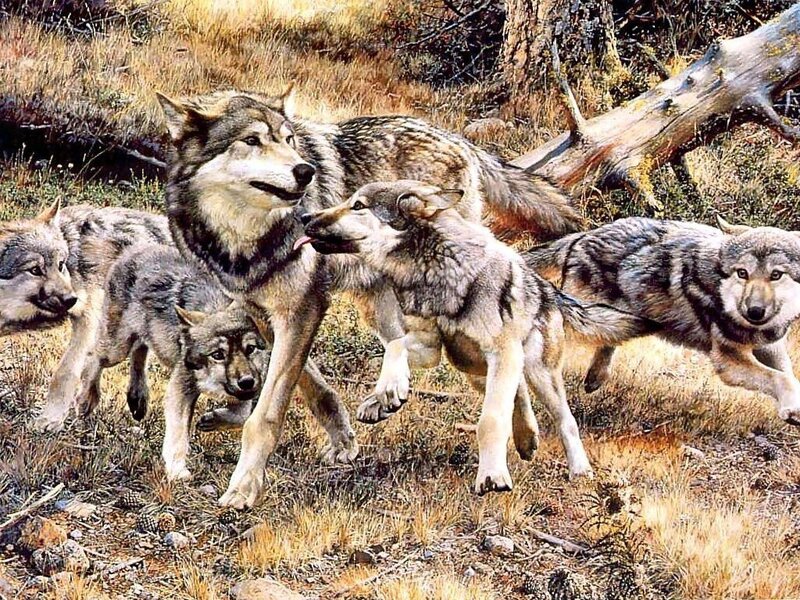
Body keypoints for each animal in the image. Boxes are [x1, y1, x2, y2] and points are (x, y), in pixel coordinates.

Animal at [0, 201, 172, 431]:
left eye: (61, 265)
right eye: (35, 270)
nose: (70, 299)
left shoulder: (88, 316)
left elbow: (66, 372)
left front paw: (51, 418)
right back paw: (134, 398)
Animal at [76, 245, 269, 480]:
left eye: (250, 349)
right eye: (218, 354)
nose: (247, 382)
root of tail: (135, 247)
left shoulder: (244, 390)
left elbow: (241, 416)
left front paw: (212, 420)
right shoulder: (181, 389)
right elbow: (178, 434)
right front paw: (177, 471)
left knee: (139, 352)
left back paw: (138, 399)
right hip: (116, 349)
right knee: (93, 356)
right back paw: (86, 400)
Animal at [156, 87, 583, 507]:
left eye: (289, 140)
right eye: (252, 140)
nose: (306, 171)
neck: (243, 242)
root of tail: (456, 138)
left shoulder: (302, 309)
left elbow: (265, 416)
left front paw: (243, 488)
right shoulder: (264, 314)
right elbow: (314, 387)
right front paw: (344, 441)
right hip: (380, 305)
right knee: (414, 347)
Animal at [297, 180, 658, 492]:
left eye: (357, 205)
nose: (304, 217)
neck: (436, 269)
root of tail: (551, 292)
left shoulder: (501, 353)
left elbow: (491, 421)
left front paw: (493, 476)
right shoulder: (431, 347)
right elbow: (395, 346)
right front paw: (387, 390)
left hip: (537, 372)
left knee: (562, 418)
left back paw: (579, 470)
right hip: (469, 366)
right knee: (518, 392)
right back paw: (526, 438)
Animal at [527, 216, 800, 425]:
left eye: (776, 275)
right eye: (742, 273)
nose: (754, 312)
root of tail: (582, 236)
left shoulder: (771, 345)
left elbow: (787, 373)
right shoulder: (728, 361)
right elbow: (780, 377)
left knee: (608, 343)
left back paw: (594, 379)